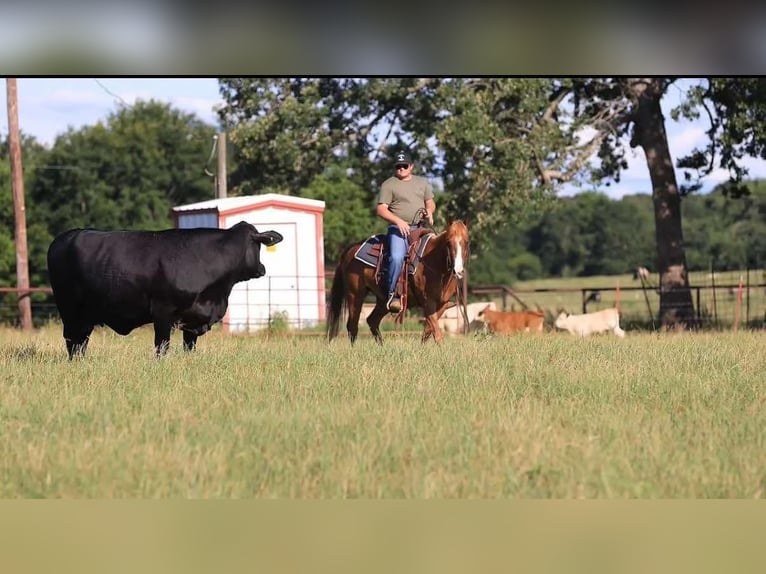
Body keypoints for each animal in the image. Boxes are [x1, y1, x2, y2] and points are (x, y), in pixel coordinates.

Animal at [327, 220, 470, 345]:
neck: (433, 262)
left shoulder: (442, 305)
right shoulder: (428, 302)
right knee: (352, 325)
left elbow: (428, 331)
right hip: (355, 294)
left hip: (383, 301)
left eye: (467, 242)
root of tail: (351, 250)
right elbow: (437, 333)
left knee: (372, 320)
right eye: (448, 242)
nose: (458, 270)